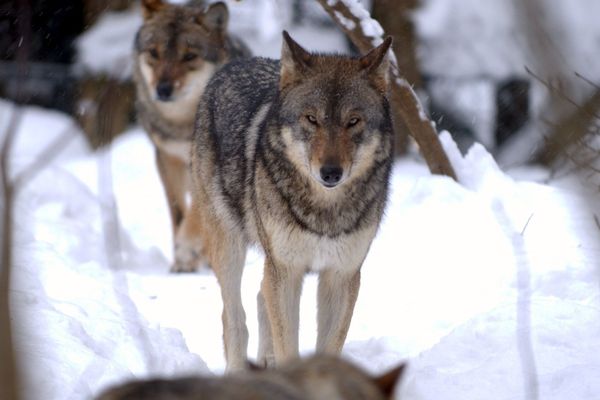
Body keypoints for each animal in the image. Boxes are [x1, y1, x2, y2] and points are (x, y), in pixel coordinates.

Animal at [177, 32, 394, 372]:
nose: (330, 172)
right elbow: (286, 345)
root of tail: (234, 64)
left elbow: (328, 347)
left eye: (353, 121)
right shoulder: (287, 270)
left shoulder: (341, 276)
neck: (324, 211)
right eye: (312, 119)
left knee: (258, 296)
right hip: (230, 248)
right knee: (233, 317)